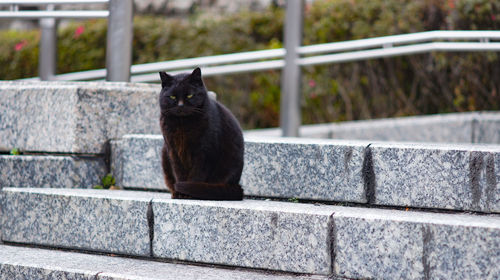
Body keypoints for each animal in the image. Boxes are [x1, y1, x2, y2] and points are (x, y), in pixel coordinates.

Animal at [158, 67, 244, 199]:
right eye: (172, 97)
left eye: (189, 95)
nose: (181, 106)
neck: (183, 124)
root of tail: (237, 186)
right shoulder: (173, 151)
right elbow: (179, 172)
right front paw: (180, 193)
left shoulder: (204, 152)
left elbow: (197, 175)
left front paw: (187, 193)